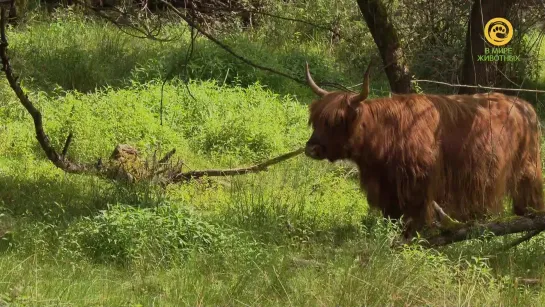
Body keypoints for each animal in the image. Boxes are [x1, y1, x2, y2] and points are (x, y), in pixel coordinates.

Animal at [304, 62, 540, 236]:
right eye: (315, 120)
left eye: (337, 121)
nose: (311, 149)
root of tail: (524, 106)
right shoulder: (387, 185)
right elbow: (392, 214)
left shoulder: (418, 181)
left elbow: (415, 214)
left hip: (527, 168)